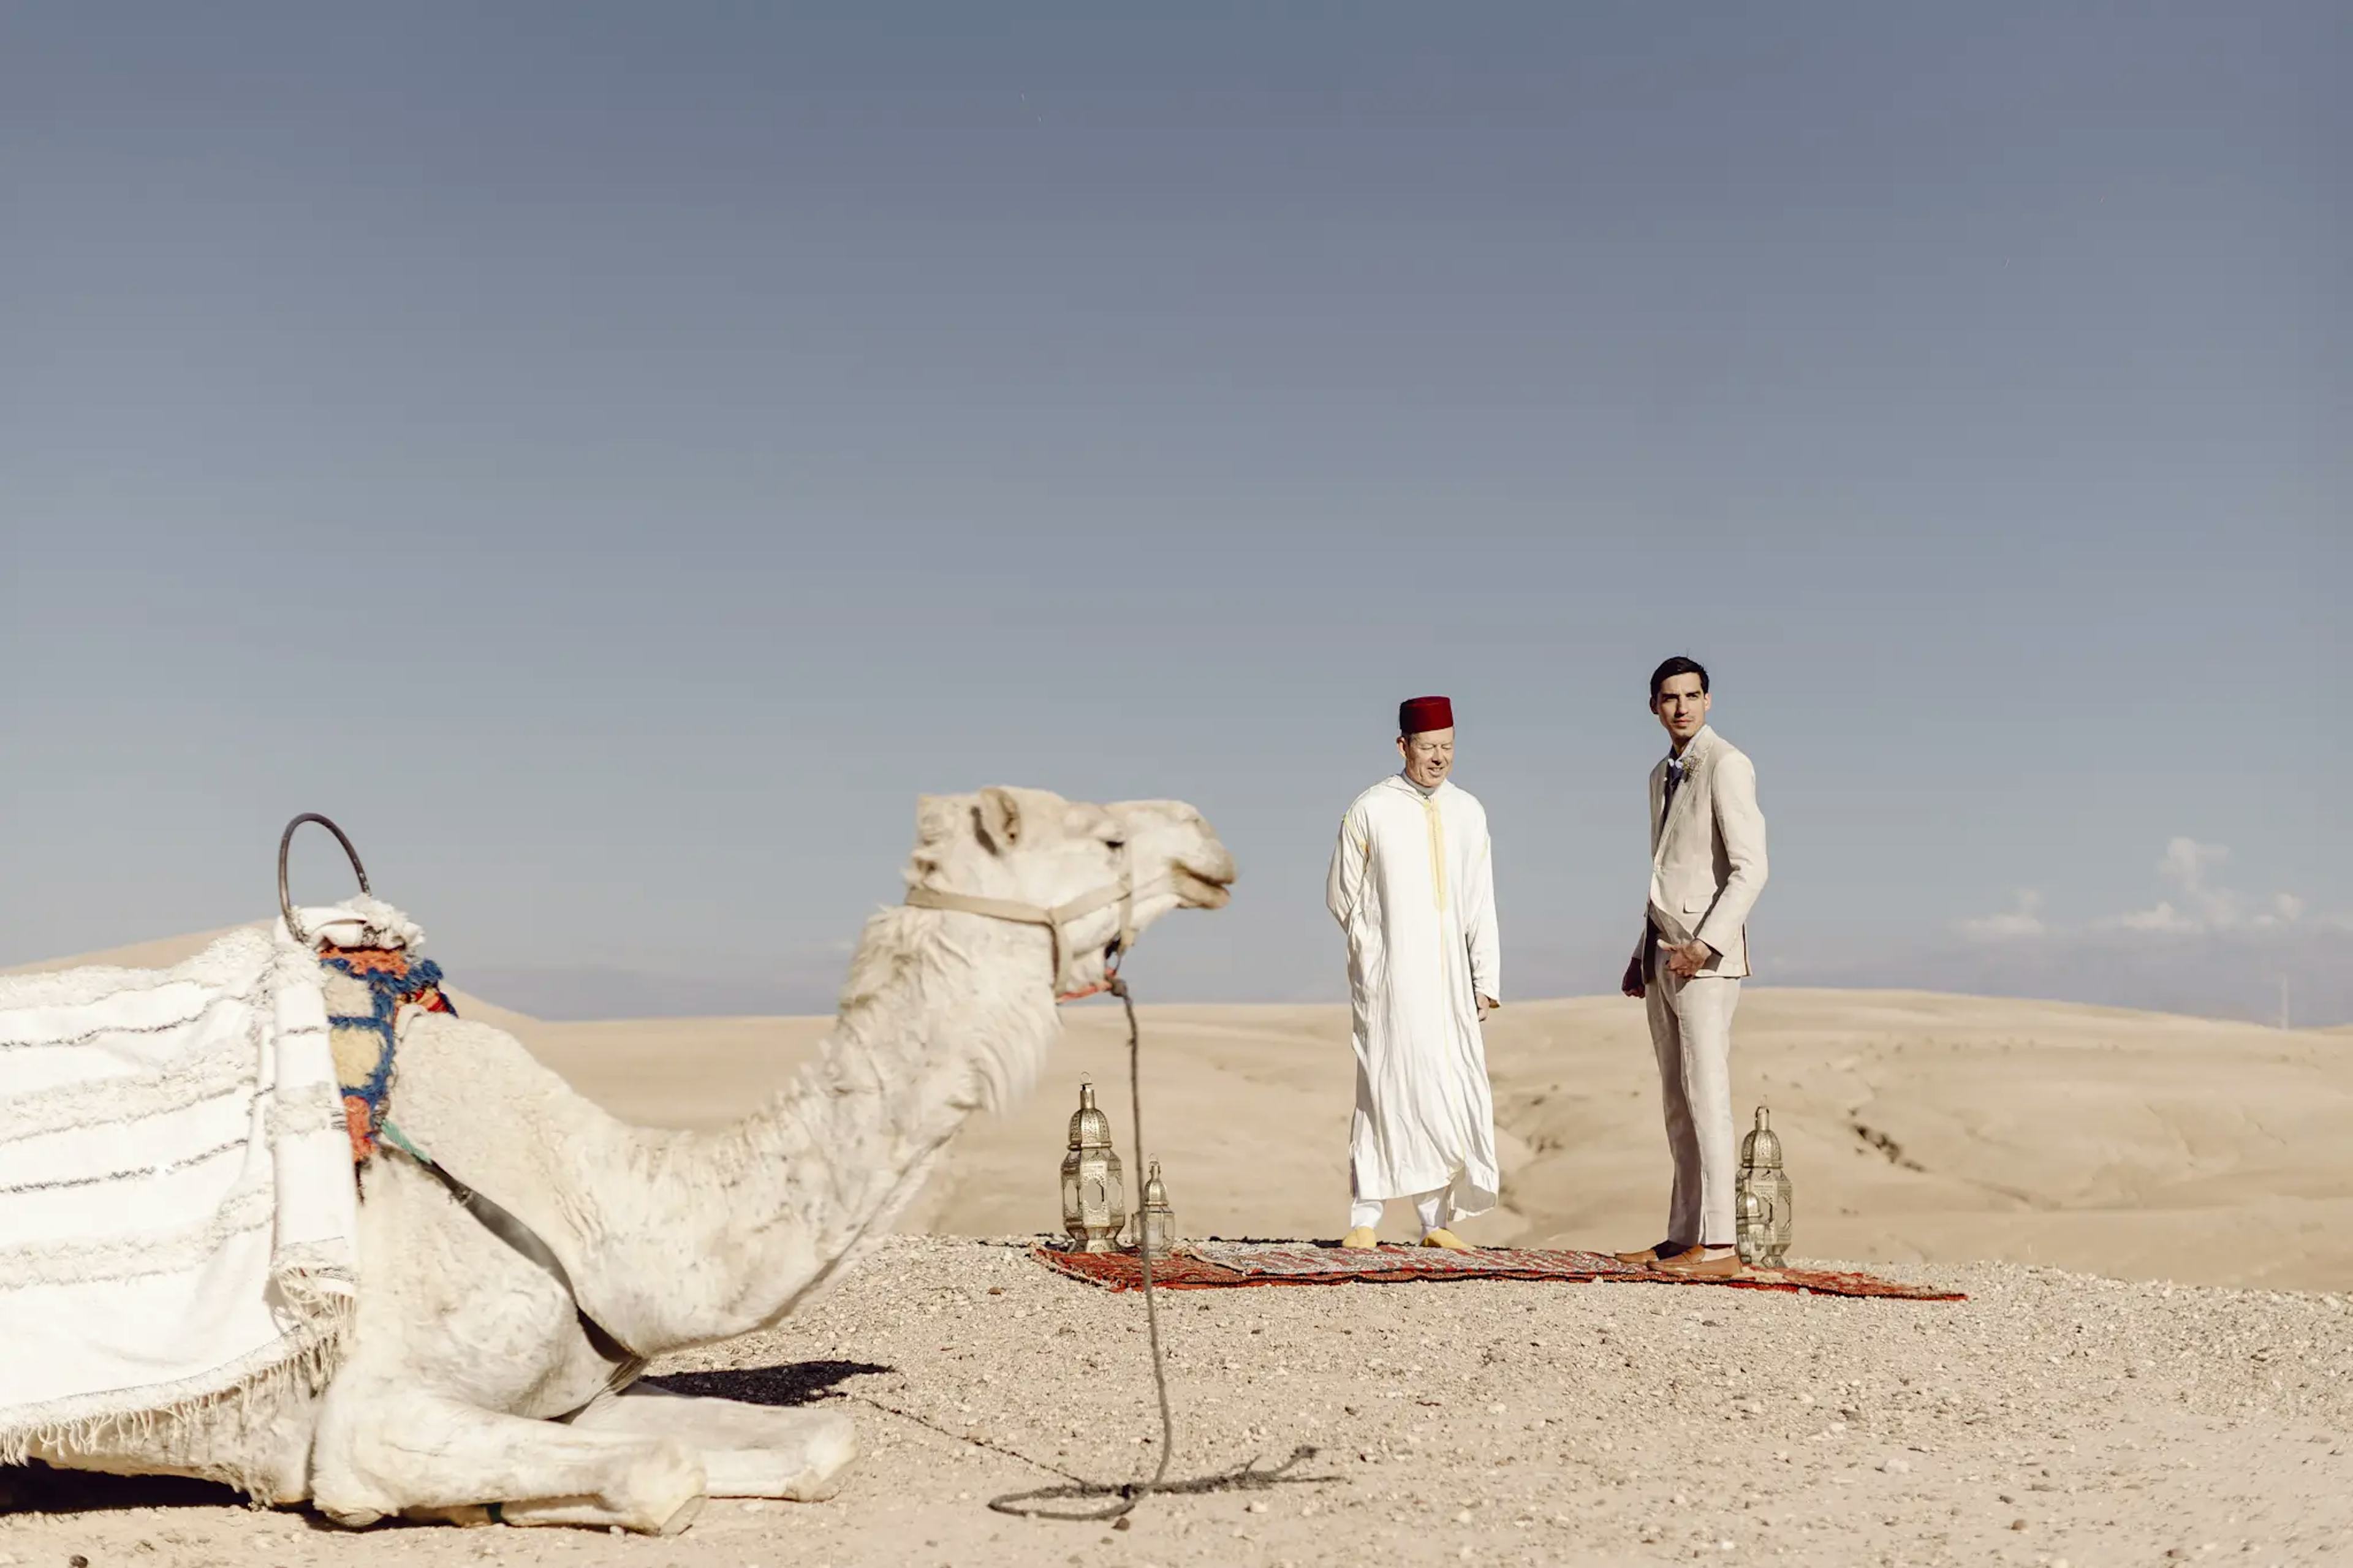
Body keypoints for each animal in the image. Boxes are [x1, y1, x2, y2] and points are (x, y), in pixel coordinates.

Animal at [23, 781, 1233, 1525]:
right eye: (1105, 837)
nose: (1206, 835)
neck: (592, 1201)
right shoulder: (371, 1410)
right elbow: (663, 1474)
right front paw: (466, 1503)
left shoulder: (568, 1402)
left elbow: (818, 1443)